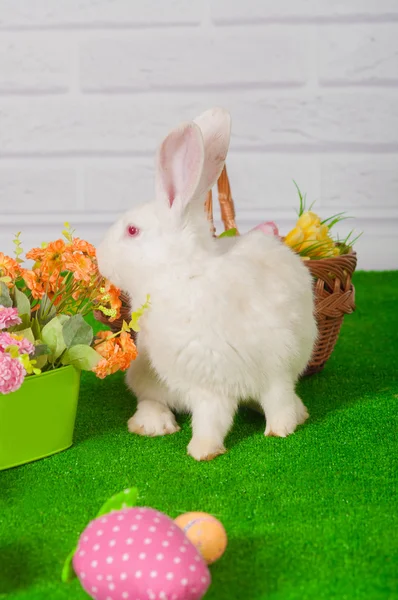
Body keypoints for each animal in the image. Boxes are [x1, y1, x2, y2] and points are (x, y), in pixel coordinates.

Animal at [96, 108, 318, 462]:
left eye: (132, 230)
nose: (99, 257)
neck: (184, 273)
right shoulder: (207, 384)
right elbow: (211, 418)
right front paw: (204, 450)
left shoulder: (275, 367)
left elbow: (278, 399)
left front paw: (284, 427)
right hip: (148, 371)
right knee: (148, 397)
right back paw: (153, 425)